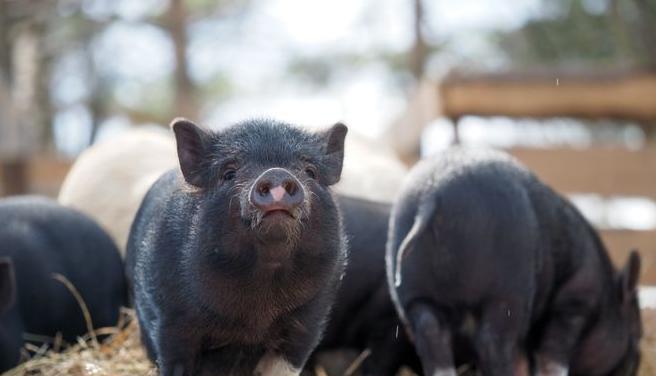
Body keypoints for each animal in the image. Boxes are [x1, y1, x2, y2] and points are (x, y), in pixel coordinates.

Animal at [386, 149, 644, 376]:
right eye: (638, 333)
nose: (638, 362)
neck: (606, 295)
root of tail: (431, 198)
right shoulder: (574, 302)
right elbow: (552, 359)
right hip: (506, 290)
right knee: (492, 342)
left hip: (413, 294)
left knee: (431, 334)